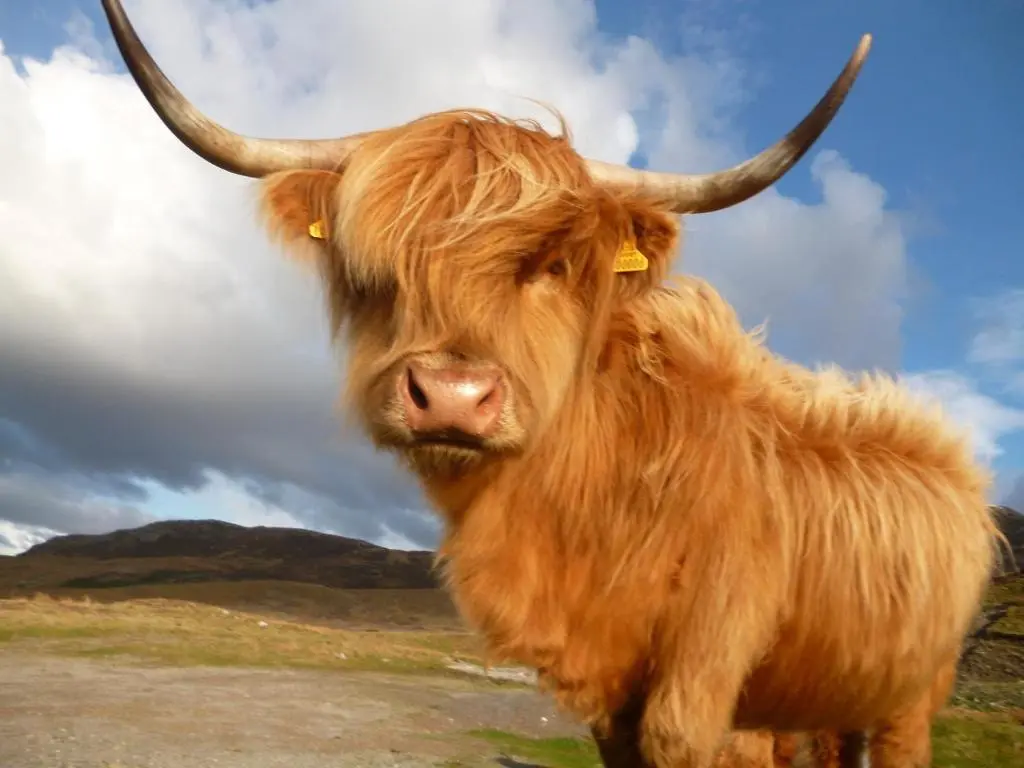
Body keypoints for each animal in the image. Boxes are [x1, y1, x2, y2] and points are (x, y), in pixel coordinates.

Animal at [101, 1, 1002, 766]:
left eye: (555, 263)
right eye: (370, 268)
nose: (453, 396)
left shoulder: (700, 697)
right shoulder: (614, 705)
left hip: (911, 696)